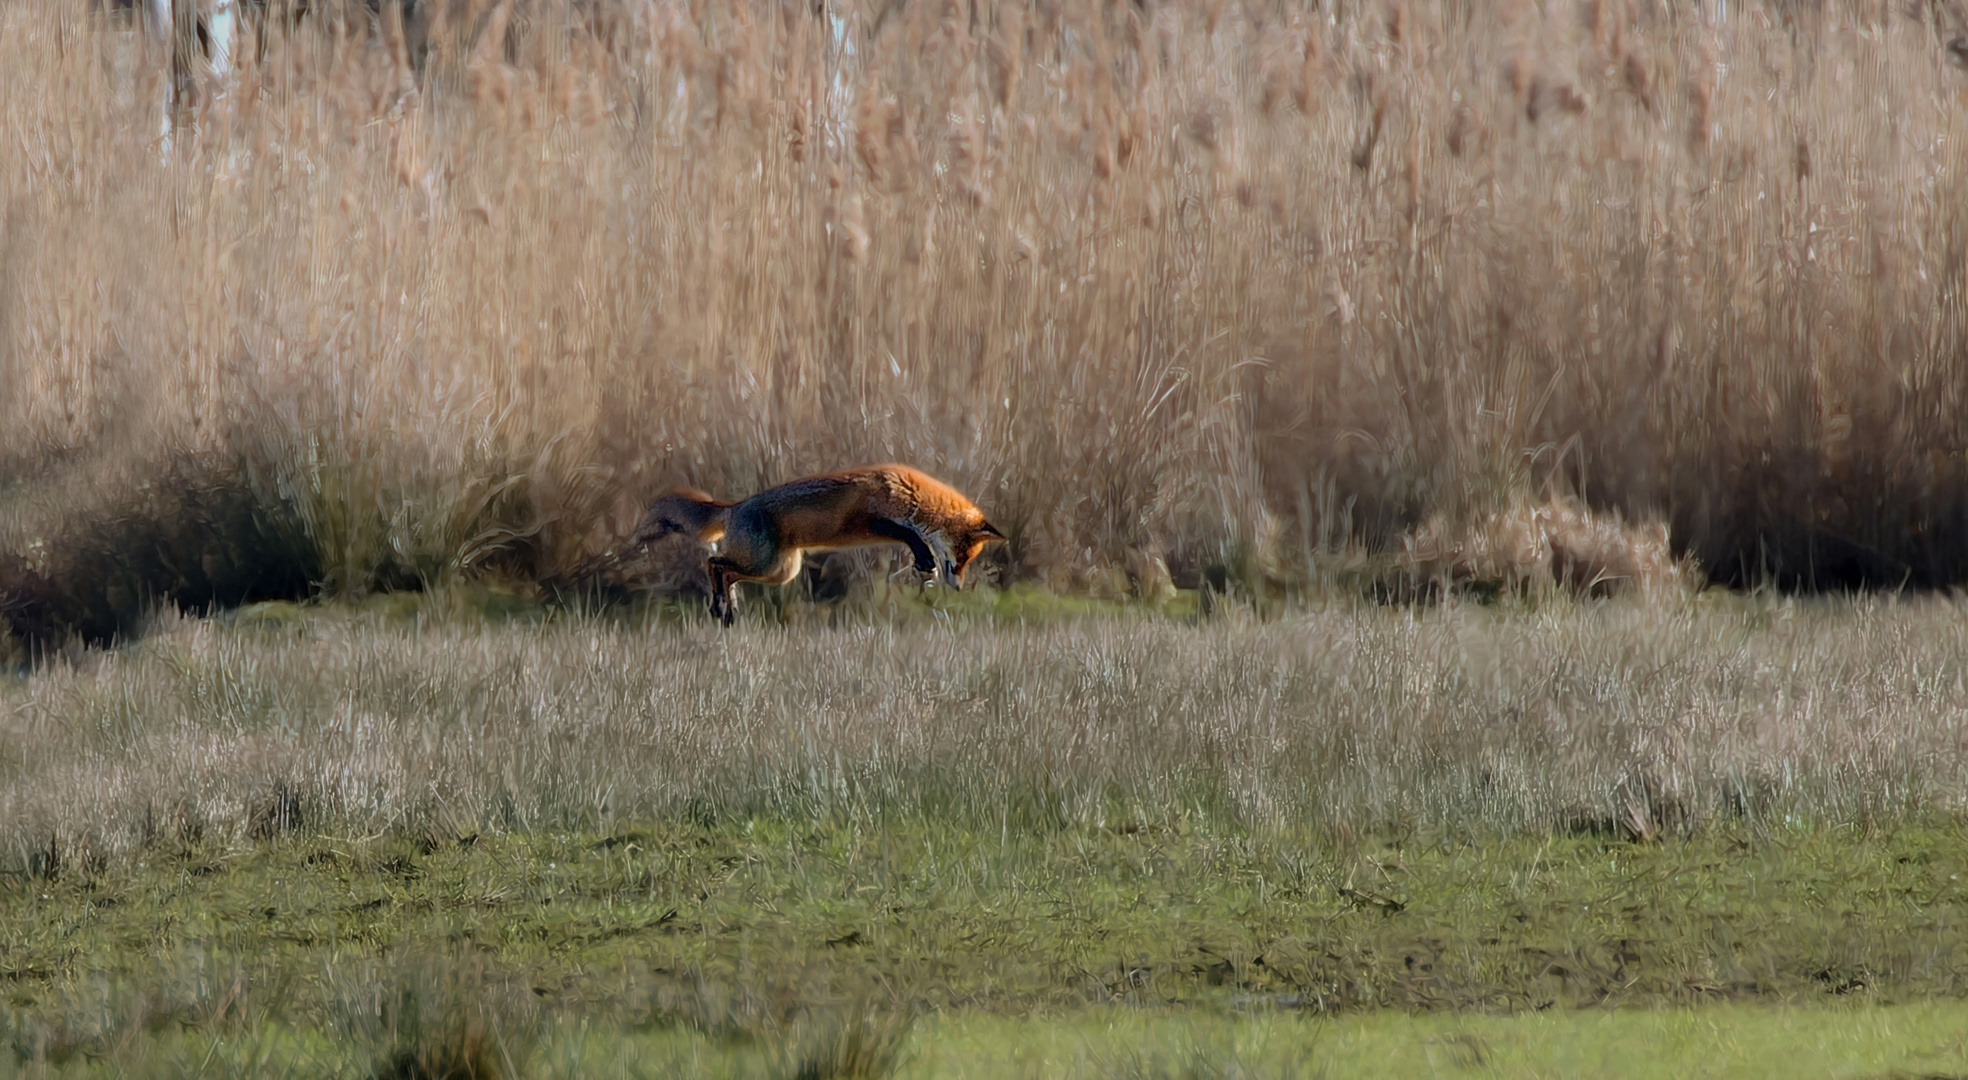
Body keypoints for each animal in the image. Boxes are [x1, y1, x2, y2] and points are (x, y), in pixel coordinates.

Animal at [633, 462, 1007, 621]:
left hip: (779, 572)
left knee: (725, 571)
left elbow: (911, 537)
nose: (958, 587)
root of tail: (734, 507)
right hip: (765, 564)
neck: (912, 494)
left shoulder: (878, 525)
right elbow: (909, 534)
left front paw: (924, 564)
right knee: (714, 563)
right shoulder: (873, 518)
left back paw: (726, 609)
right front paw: (924, 559)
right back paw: (720, 606)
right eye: (964, 556)